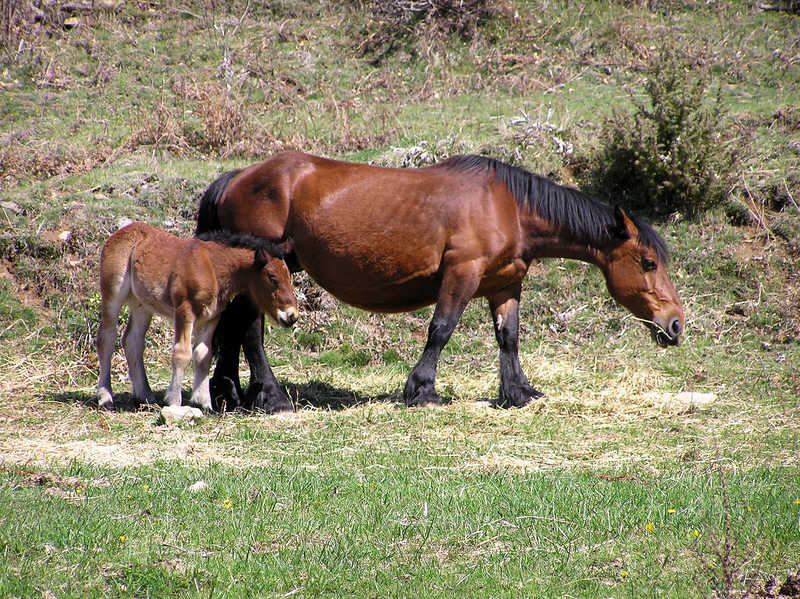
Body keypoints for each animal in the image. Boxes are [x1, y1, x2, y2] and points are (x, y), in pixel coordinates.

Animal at [197, 151, 684, 412]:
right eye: (647, 262)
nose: (676, 325)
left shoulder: (504, 285)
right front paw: (423, 389)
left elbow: (509, 336)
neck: (507, 207)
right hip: (267, 273)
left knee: (234, 329)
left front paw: (518, 392)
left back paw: (231, 393)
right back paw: (271, 396)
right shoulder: (462, 274)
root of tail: (238, 177)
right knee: (250, 331)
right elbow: (442, 329)